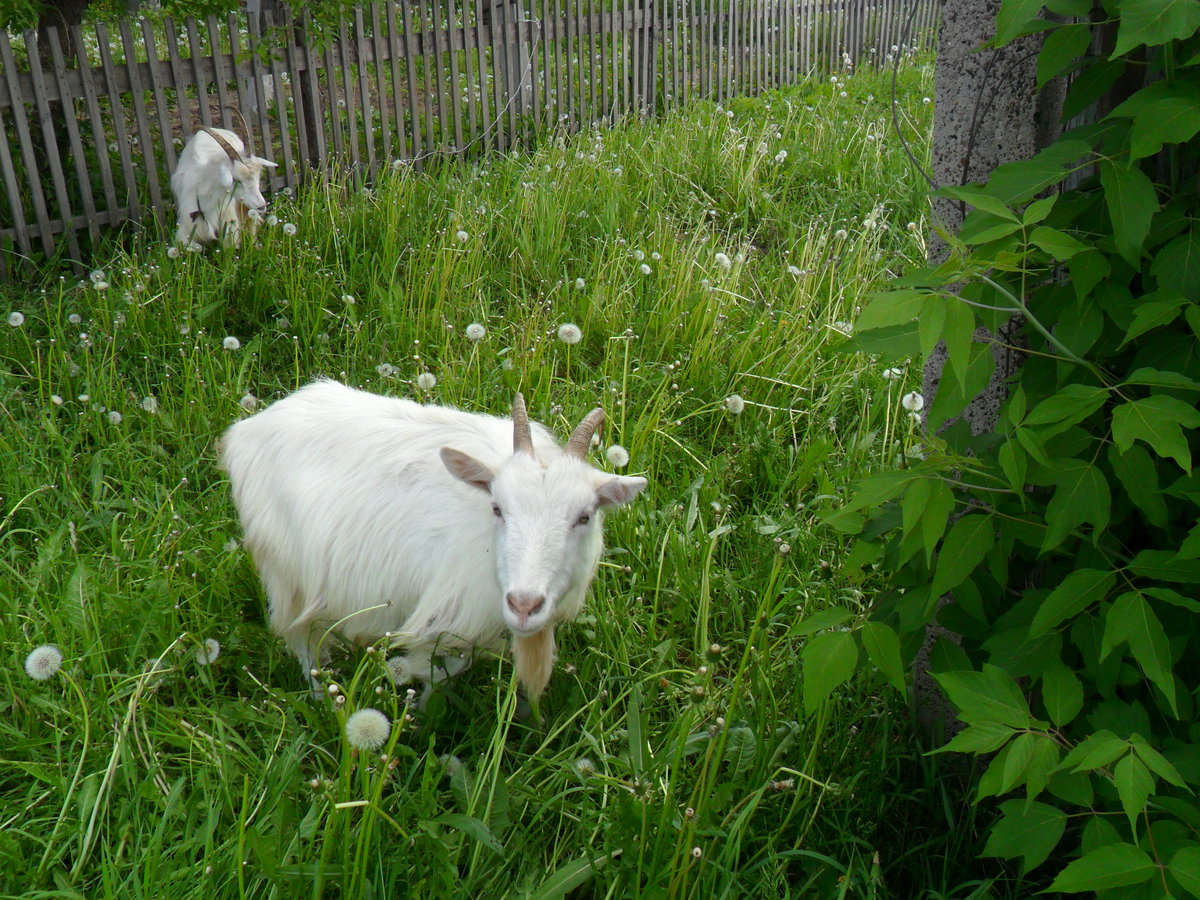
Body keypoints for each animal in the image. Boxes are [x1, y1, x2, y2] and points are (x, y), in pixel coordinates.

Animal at [219, 381, 647, 699]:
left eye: (584, 516)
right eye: (497, 507)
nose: (524, 605)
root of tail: (249, 428)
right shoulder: (447, 613)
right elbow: (438, 670)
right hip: (287, 574)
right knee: (304, 643)